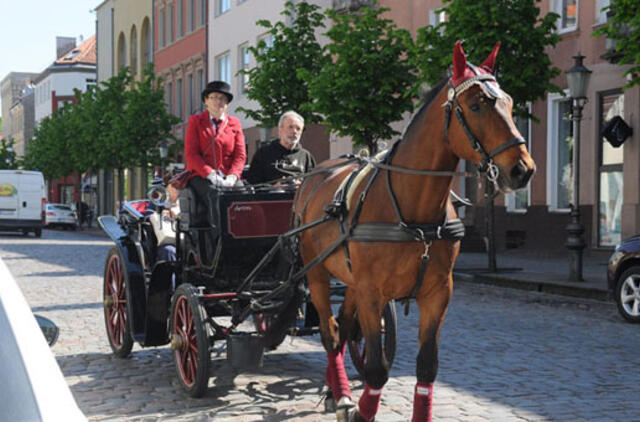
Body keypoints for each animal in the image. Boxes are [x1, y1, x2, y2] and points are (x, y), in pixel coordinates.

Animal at [292, 40, 536, 422]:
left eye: (511, 104)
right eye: (477, 104)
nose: (522, 169)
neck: (413, 210)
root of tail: (312, 177)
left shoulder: (438, 293)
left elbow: (427, 366)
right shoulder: (372, 292)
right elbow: (377, 369)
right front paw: (362, 410)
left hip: (349, 280)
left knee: (344, 327)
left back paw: (335, 391)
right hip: (316, 271)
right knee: (330, 334)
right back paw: (343, 393)